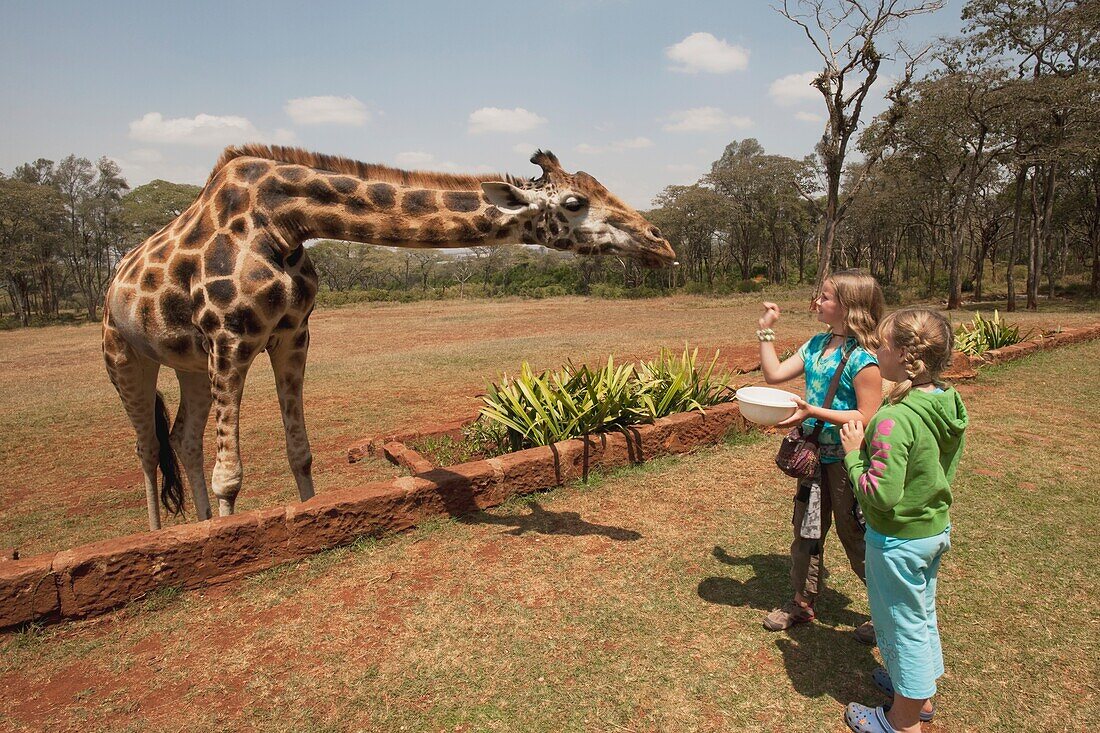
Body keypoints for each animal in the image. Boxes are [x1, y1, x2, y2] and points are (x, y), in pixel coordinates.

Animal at [103, 144, 673, 530]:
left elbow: (299, 452)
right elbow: (231, 476)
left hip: (189, 363)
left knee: (182, 436)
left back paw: (199, 521)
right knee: (147, 447)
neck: (285, 222)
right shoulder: (230, 338)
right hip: (125, 355)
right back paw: (161, 535)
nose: (660, 243)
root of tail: (112, 282)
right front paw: (225, 537)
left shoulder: (293, 334)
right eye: (575, 203)